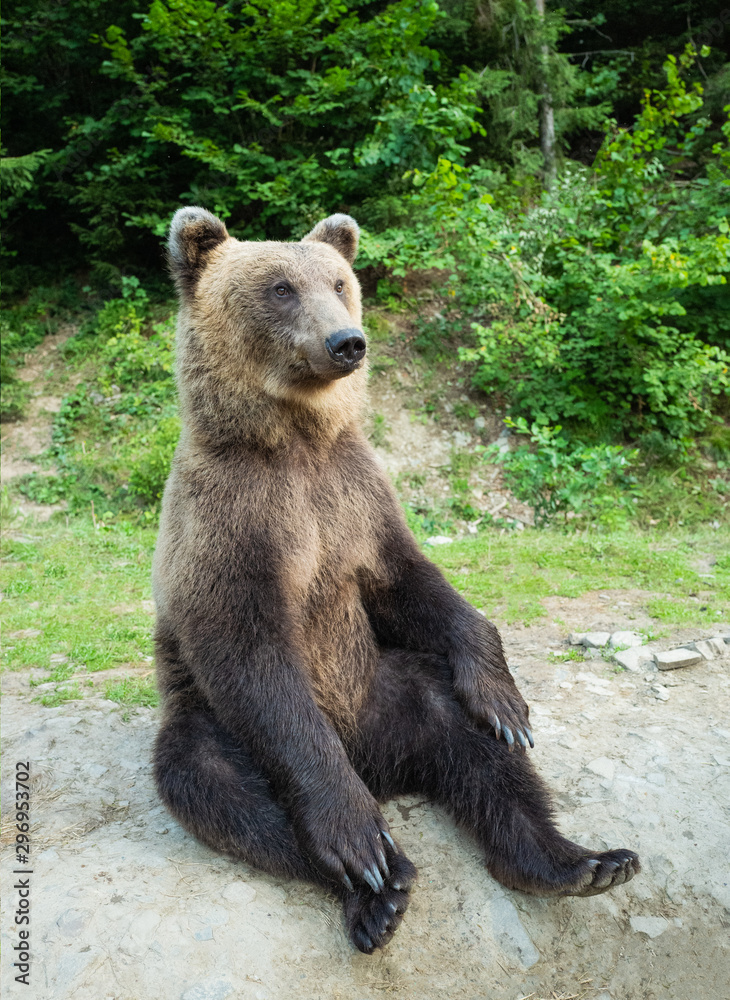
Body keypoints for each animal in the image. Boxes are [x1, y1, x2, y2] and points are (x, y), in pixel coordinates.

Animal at [152, 206, 640, 955]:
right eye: (280, 288)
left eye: (339, 282)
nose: (346, 341)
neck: (294, 440)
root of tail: (376, 765)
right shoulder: (233, 521)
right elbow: (250, 653)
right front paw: (356, 842)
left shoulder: (354, 496)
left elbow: (413, 583)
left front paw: (505, 698)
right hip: (216, 725)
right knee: (222, 790)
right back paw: (379, 881)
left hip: (391, 690)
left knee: (473, 746)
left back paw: (577, 861)